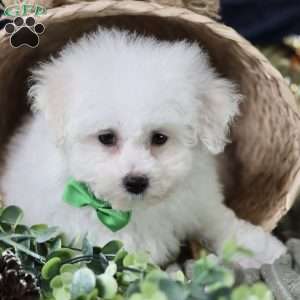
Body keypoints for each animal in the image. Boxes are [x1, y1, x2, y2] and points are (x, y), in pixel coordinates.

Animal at [1, 28, 284, 268]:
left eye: (159, 138)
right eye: (106, 137)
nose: (136, 181)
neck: (132, 209)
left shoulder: (201, 202)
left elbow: (222, 224)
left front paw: (265, 251)